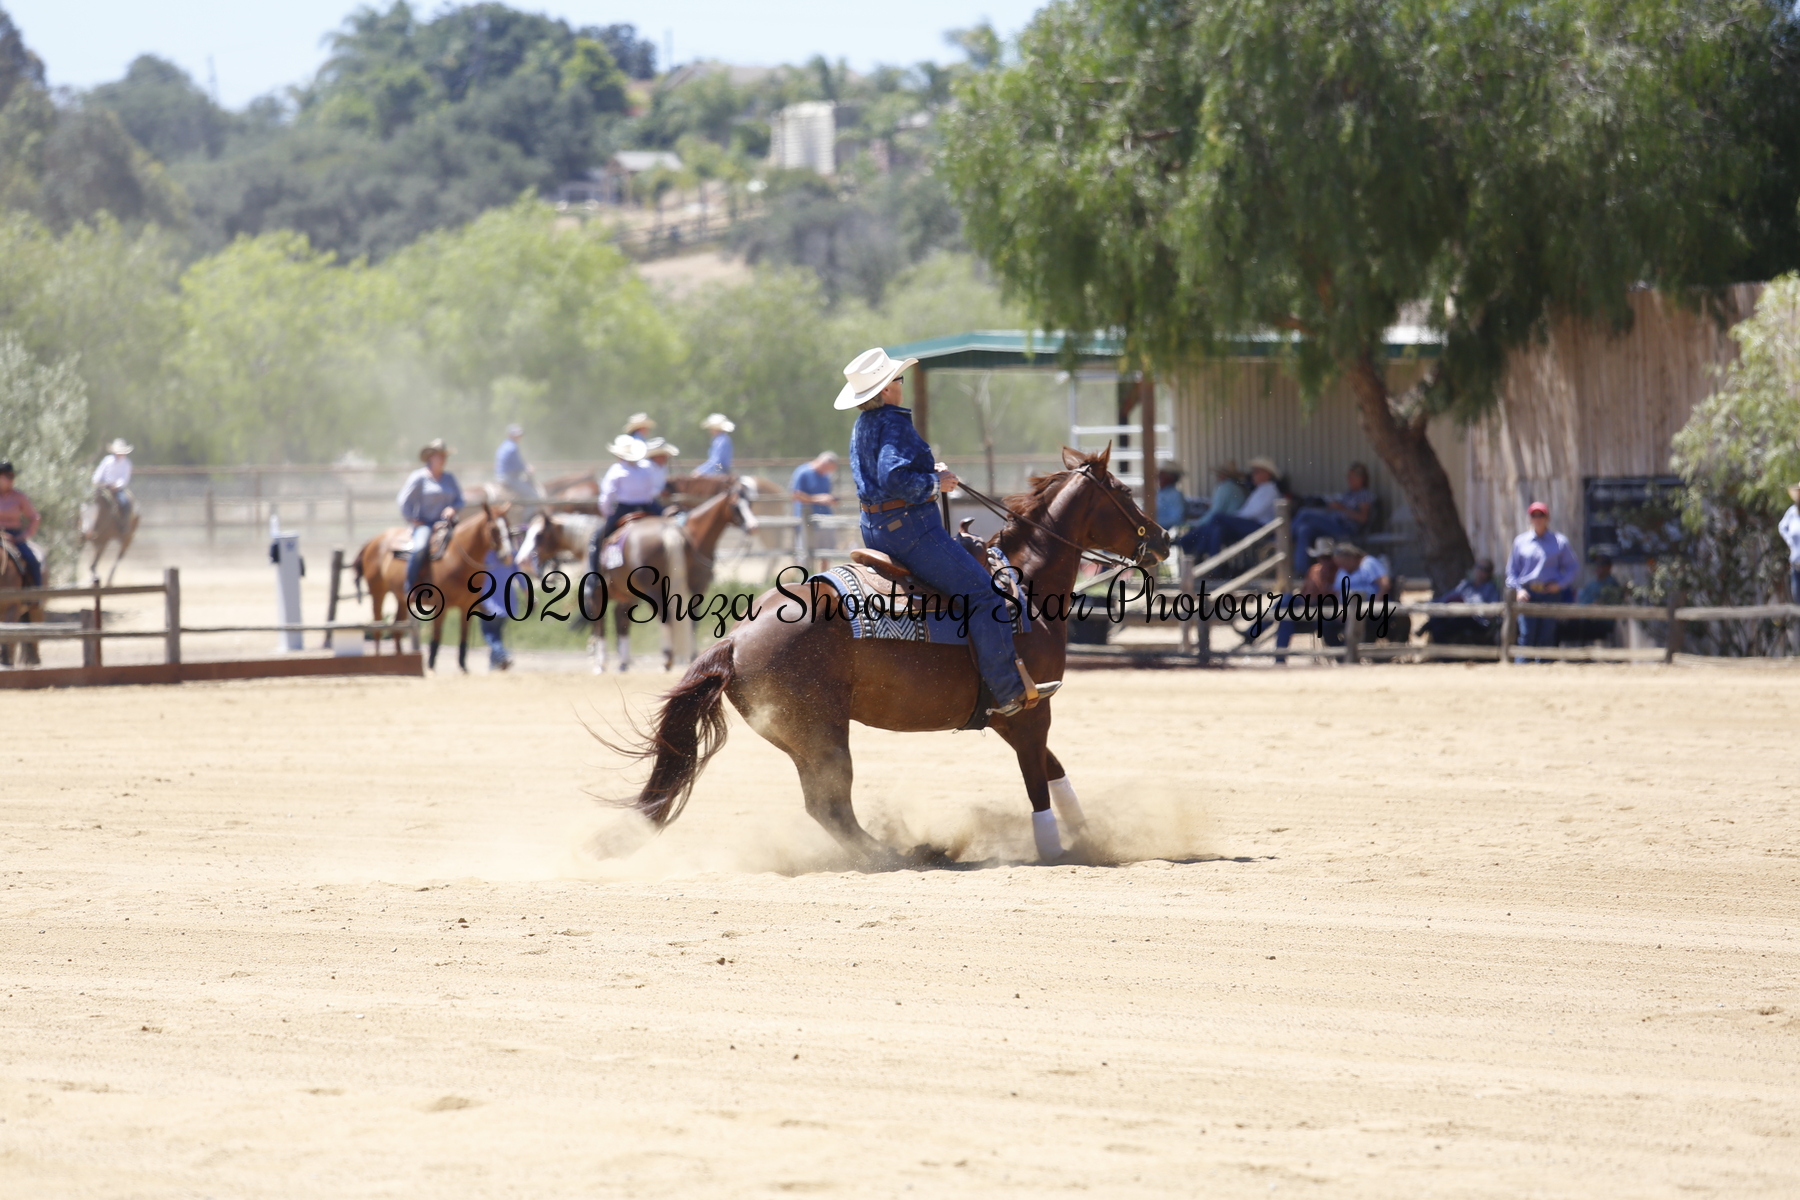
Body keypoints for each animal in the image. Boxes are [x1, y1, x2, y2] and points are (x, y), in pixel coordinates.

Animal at [351, 503, 514, 670]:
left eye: (508, 525)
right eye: (494, 528)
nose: (507, 556)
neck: (456, 559)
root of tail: (373, 541)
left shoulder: (466, 606)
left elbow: (463, 636)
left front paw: (463, 667)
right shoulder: (441, 605)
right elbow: (437, 635)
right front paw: (431, 665)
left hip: (401, 599)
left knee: (397, 629)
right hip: (378, 592)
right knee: (378, 628)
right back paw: (378, 660)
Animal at [587, 481, 758, 673]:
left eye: (750, 503)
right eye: (735, 505)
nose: (753, 526)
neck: (694, 536)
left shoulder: (697, 587)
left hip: (637, 591)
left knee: (627, 618)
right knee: (614, 620)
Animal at [611, 445, 1169, 866]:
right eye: (1124, 491)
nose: (1163, 538)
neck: (1024, 583)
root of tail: (736, 639)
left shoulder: (1015, 715)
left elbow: (1055, 772)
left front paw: (1087, 837)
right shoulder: (1028, 709)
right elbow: (1038, 782)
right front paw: (1056, 851)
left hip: (800, 738)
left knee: (825, 807)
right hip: (822, 733)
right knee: (831, 806)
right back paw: (902, 855)